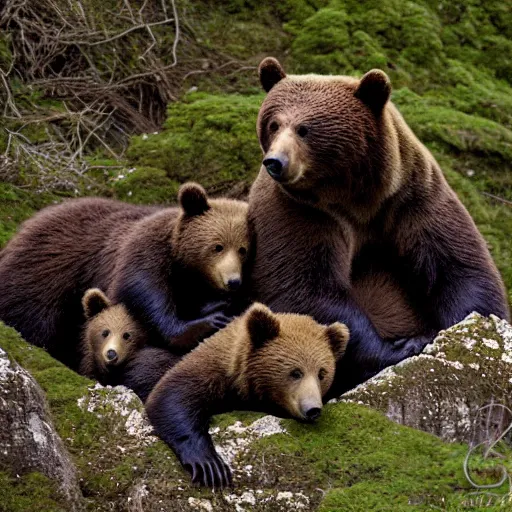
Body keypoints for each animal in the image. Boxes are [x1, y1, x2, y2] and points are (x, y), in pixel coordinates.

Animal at [248, 59, 508, 396]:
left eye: (305, 129)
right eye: (273, 124)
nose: (276, 162)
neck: (356, 199)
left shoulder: (412, 199)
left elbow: (458, 269)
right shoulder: (300, 213)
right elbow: (306, 292)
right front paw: (402, 346)